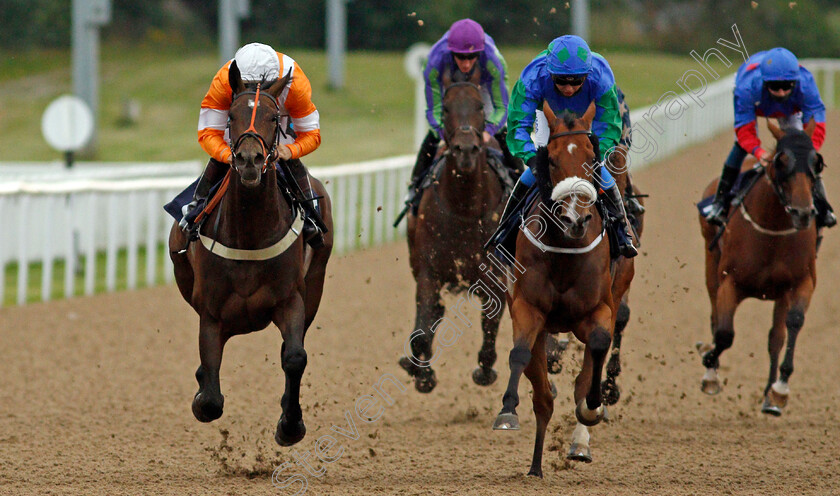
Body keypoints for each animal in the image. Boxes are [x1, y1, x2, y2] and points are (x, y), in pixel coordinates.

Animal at [166, 64, 334, 448]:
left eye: (273, 117)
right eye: (231, 116)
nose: (249, 160)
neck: (250, 230)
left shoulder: (291, 300)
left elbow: (295, 357)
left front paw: (290, 425)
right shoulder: (211, 313)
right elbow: (210, 398)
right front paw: (201, 394)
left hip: (316, 285)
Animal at [492, 103, 636, 476]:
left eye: (591, 157)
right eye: (552, 160)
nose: (576, 219)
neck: (564, 249)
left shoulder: (599, 310)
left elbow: (596, 349)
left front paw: (592, 407)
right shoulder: (527, 309)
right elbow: (519, 354)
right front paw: (507, 411)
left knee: (584, 374)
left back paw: (580, 442)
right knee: (543, 397)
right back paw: (535, 467)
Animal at [696, 119, 820, 414]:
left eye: (816, 162)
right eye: (781, 161)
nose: (802, 213)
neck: (773, 230)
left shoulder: (802, 282)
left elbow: (792, 324)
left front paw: (780, 390)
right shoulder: (729, 282)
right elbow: (724, 333)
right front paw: (709, 369)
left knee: (776, 337)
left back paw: (769, 394)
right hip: (710, 261)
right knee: (715, 316)